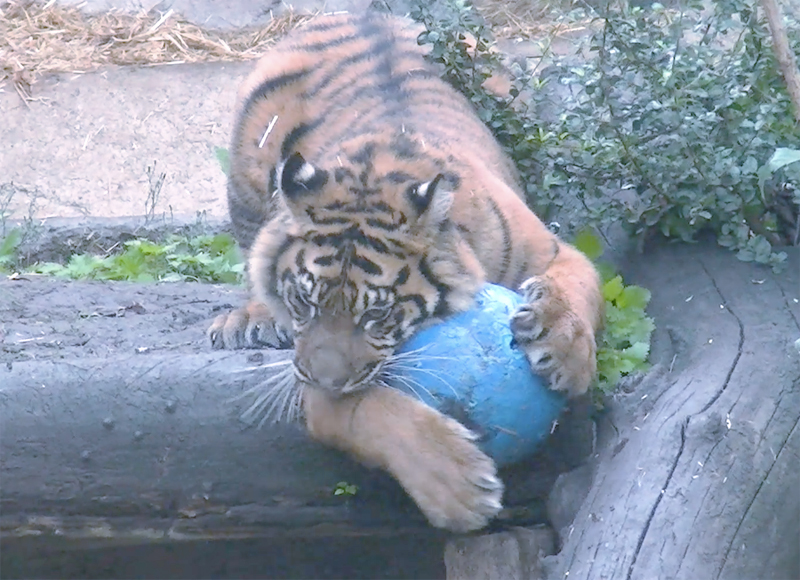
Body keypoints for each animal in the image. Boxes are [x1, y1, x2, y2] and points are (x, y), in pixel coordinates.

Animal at [209, 10, 604, 536]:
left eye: (376, 316)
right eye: (304, 303)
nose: (326, 379)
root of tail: (358, 11)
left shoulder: (554, 249)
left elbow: (580, 286)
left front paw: (565, 350)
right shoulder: (314, 374)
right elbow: (364, 410)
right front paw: (457, 486)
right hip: (247, 167)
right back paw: (250, 318)